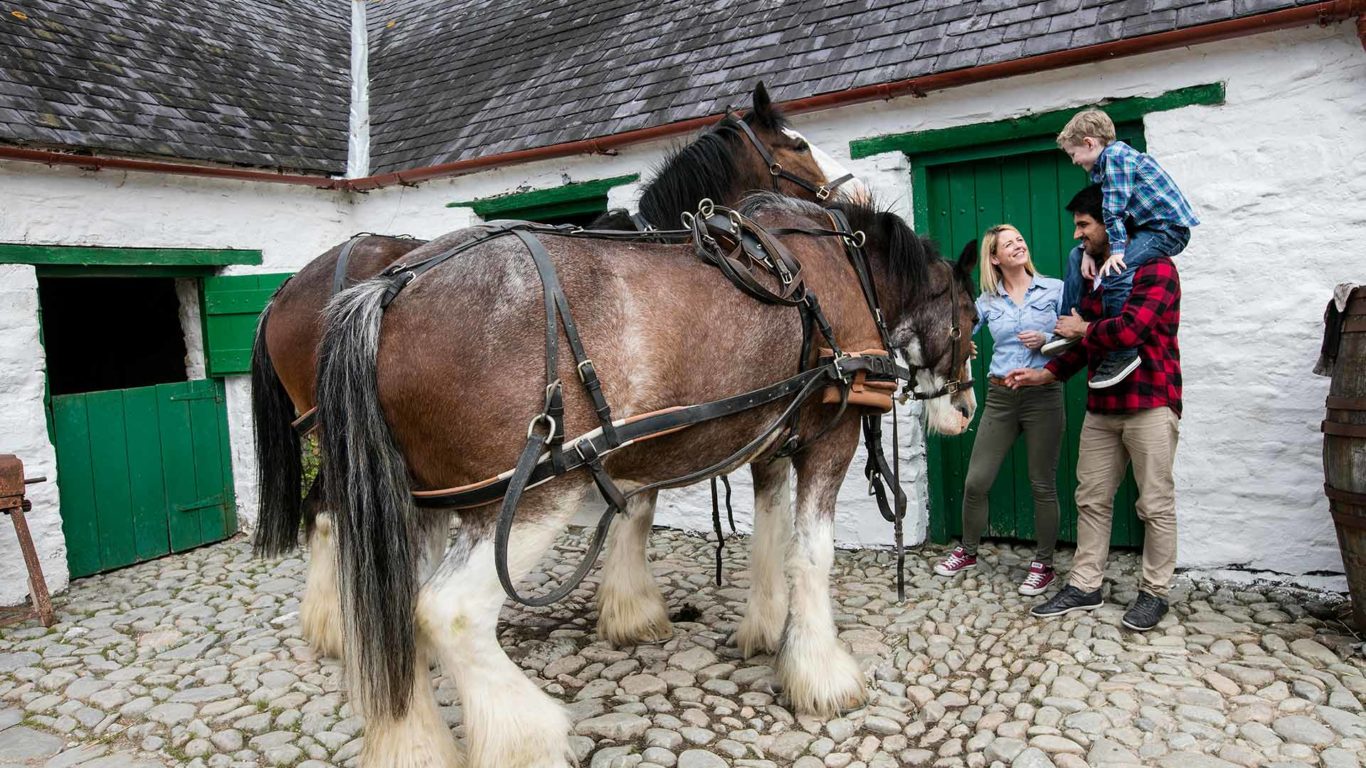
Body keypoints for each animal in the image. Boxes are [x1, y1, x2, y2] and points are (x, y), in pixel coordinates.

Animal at [252, 85, 863, 658]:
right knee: (327, 514)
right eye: (797, 144)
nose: (852, 193)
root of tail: (286, 292)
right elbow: (640, 503)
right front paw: (635, 610)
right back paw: (333, 628)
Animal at [314, 194, 978, 759]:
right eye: (970, 316)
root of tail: (389, 291)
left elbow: (769, 539)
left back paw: (416, 747)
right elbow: (812, 556)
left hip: (414, 508)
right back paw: (527, 735)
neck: (840, 269)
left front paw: (766, 631)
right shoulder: (829, 441)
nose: (966, 410)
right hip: (530, 499)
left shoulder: (770, 442)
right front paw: (822, 675)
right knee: (447, 612)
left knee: (399, 619)